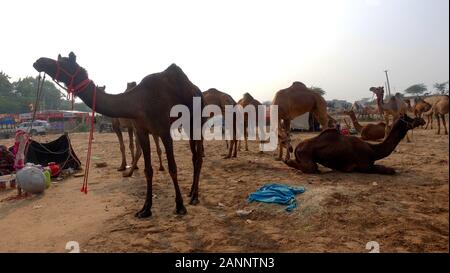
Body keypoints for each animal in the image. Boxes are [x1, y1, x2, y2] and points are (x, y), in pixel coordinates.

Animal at [33, 52, 204, 217]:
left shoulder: (164, 130)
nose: (38, 61)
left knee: (198, 155)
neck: (140, 102)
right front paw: (145, 209)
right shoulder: (141, 130)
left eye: (63, 62)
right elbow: (148, 170)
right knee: (195, 154)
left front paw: (180, 206)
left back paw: (195, 197)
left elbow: (173, 167)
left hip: (196, 120)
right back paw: (191, 192)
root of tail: (197, 89)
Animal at [284, 114, 426, 174]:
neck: (373, 150)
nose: (421, 120)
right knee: (312, 168)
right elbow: (391, 171)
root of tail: (297, 146)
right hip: (306, 154)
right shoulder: (364, 166)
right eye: (409, 118)